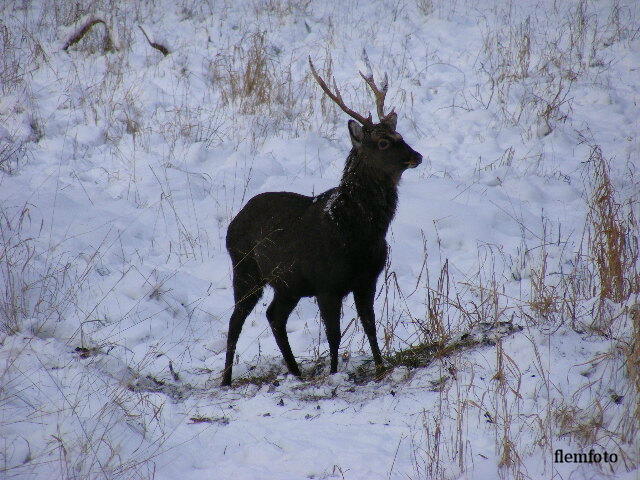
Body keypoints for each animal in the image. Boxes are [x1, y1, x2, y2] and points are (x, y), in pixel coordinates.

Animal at [222, 57, 422, 386]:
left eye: (400, 136)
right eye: (382, 143)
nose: (417, 156)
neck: (358, 232)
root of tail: (232, 223)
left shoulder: (367, 279)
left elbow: (370, 324)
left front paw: (381, 367)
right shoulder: (327, 283)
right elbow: (334, 334)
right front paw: (334, 374)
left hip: (287, 284)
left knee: (274, 315)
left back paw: (295, 372)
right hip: (245, 268)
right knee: (236, 319)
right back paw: (226, 380)